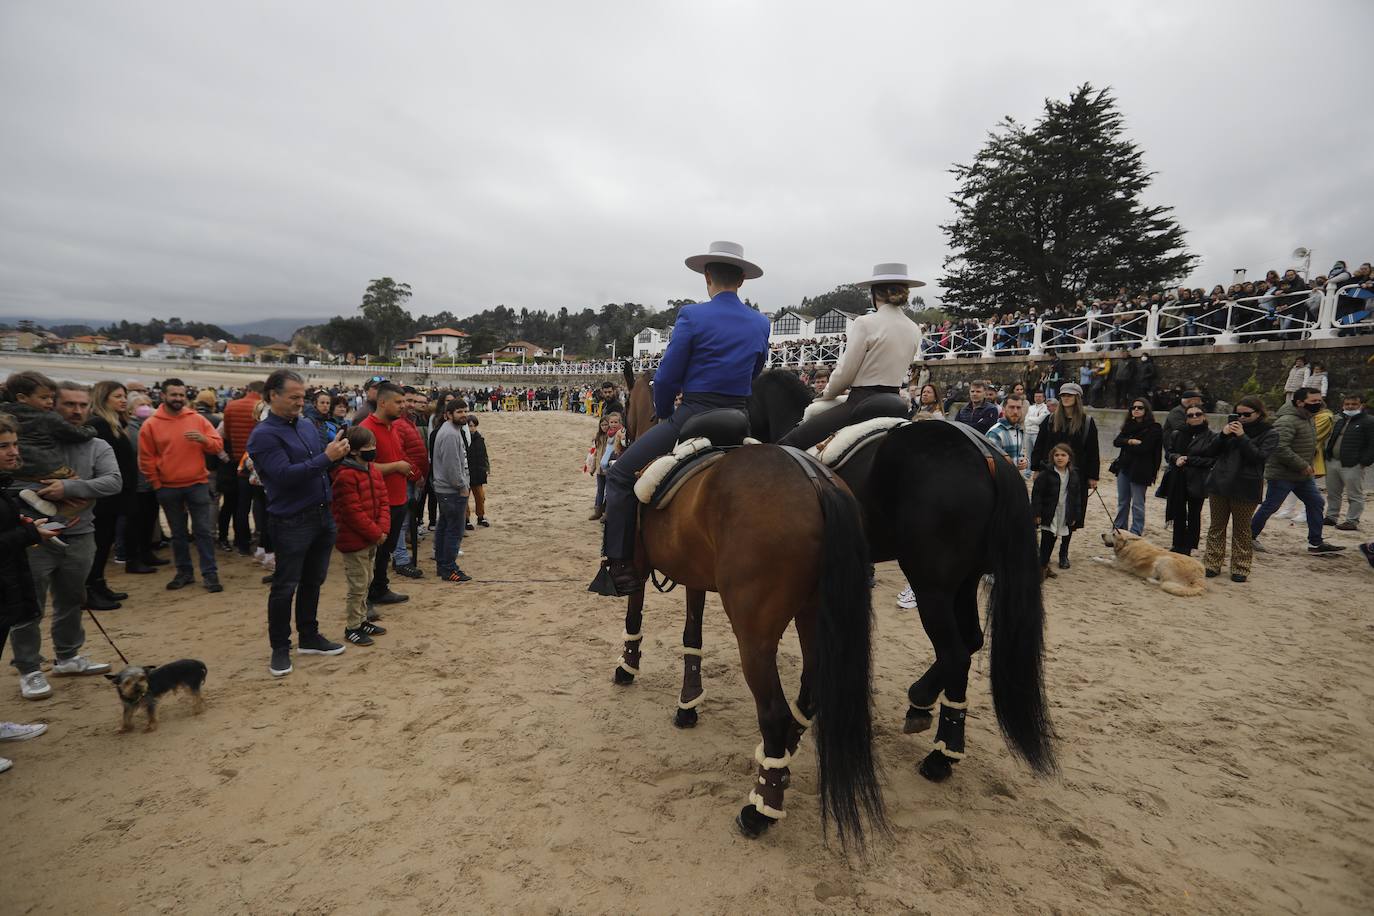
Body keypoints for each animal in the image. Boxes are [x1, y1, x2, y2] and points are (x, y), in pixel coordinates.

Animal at [607, 433, 884, 851]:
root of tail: (817, 481)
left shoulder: (638, 565)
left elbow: (634, 611)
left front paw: (627, 666)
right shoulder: (695, 576)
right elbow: (691, 637)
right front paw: (688, 704)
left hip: (755, 637)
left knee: (775, 713)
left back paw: (761, 808)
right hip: (814, 618)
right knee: (810, 694)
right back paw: (783, 760)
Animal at [752, 368, 1049, 785]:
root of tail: (985, 453)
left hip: (931, 587)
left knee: (956, 653)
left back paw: (935, 740)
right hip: (962, 582)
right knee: (970, 643)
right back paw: (932, 722)